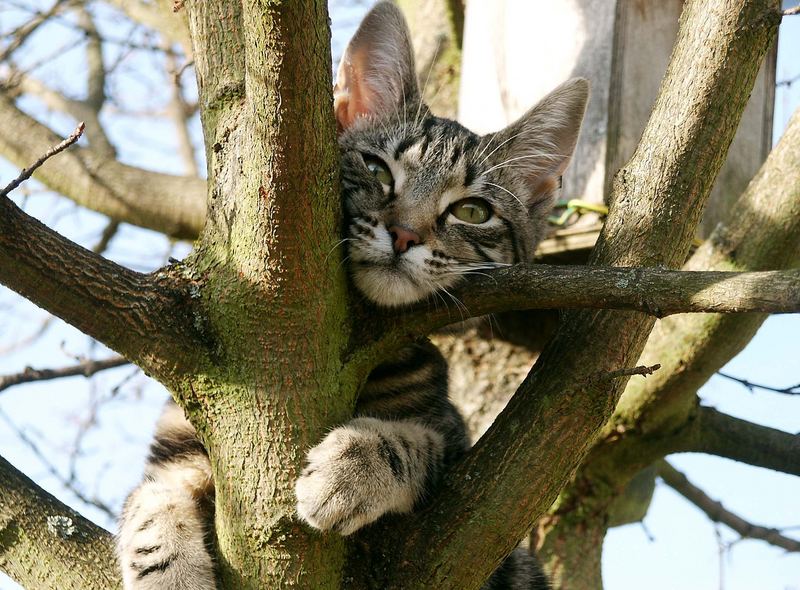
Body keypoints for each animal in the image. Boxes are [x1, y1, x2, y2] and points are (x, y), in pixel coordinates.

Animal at [117, 2, 588, 588]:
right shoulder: (181, 444)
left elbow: (414, 442)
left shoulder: (462, 460)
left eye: (472, 211)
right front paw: (167, 567)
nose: (405, 234)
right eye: (377, 169)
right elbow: (150, 501)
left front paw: (351, 469)